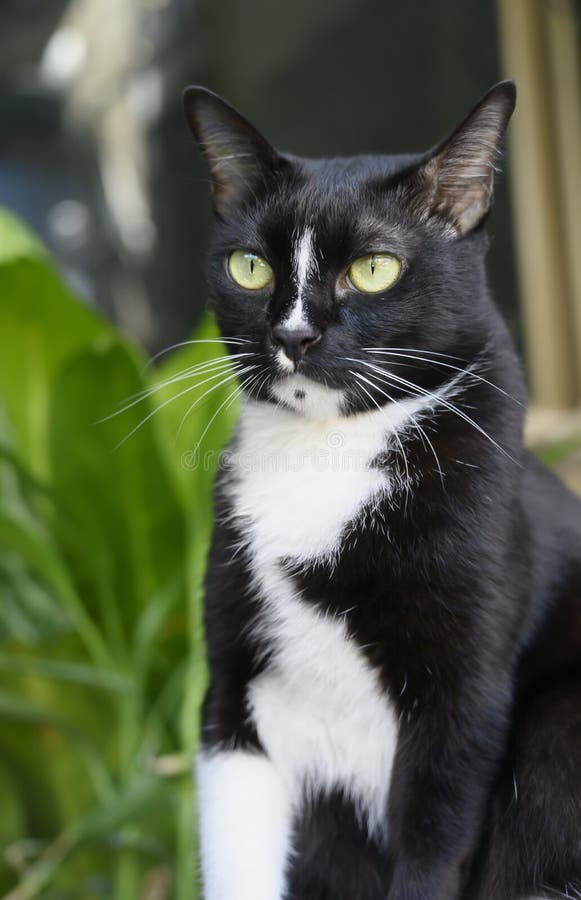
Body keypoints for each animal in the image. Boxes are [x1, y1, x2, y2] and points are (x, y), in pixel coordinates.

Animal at [184, 79, 580, 900]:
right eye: (249, 268)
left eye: (373, 269)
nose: (292, 336)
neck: (327, 457)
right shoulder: (232, 698)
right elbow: (236, 852)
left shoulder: (462, 701)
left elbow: (432, 846)